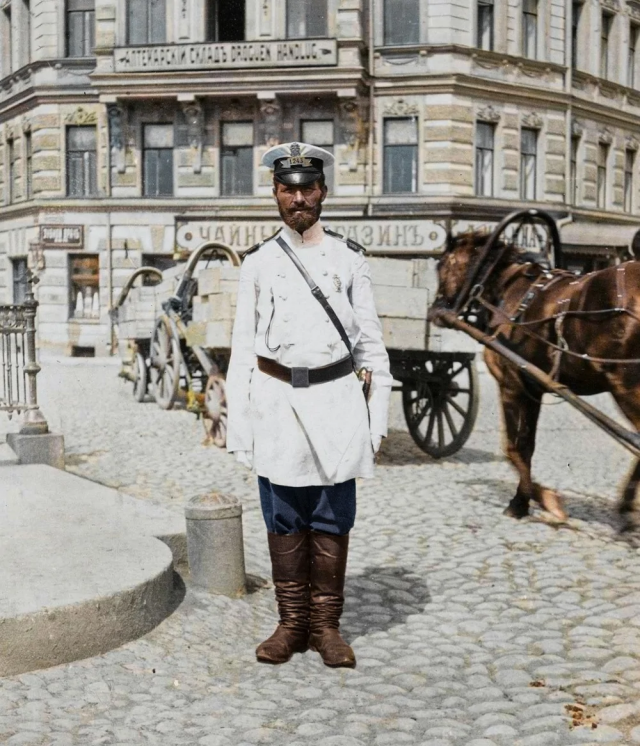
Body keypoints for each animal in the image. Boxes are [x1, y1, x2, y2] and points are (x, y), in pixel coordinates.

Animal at [430, 230, 640, 528]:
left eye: (442, 265)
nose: (435, 310)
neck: (510, 289)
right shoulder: (534, 388)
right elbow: (526, 446)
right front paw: (531, 497)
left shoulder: (511, 385)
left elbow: (512, 448)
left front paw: (529, 501)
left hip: (626, 388)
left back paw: (624, 509)